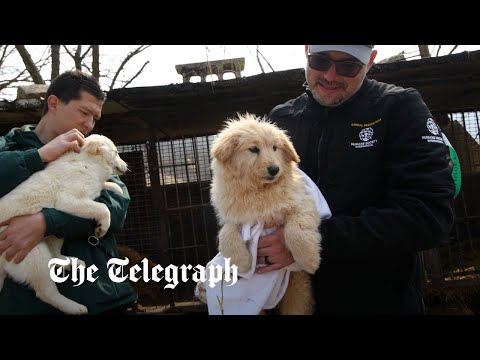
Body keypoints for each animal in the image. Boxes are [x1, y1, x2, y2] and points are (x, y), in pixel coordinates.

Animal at [211, 113, 320, 316]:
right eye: (254, 149)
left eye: (275, 148)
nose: (274, 169)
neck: (259, 191)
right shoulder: (238, 217)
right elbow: (226, 233)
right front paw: (243, 263)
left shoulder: (302, 202)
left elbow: (295, 230)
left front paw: (310, 260)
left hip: (297, 290)